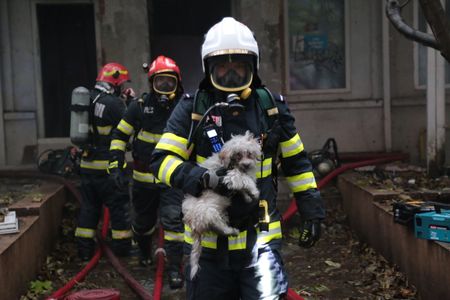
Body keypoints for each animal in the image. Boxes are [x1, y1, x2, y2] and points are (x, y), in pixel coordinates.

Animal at [182, 131, 262, 278]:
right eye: (238, 155)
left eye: (249, 153)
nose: (247, 165)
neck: (231, 165)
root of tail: (195, 226)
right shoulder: (231, 177)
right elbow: (245, 180)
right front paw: (254, 192)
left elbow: (243, 188)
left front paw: (248, 197)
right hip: (210, 212)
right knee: (221, 229)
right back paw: (233, 231)